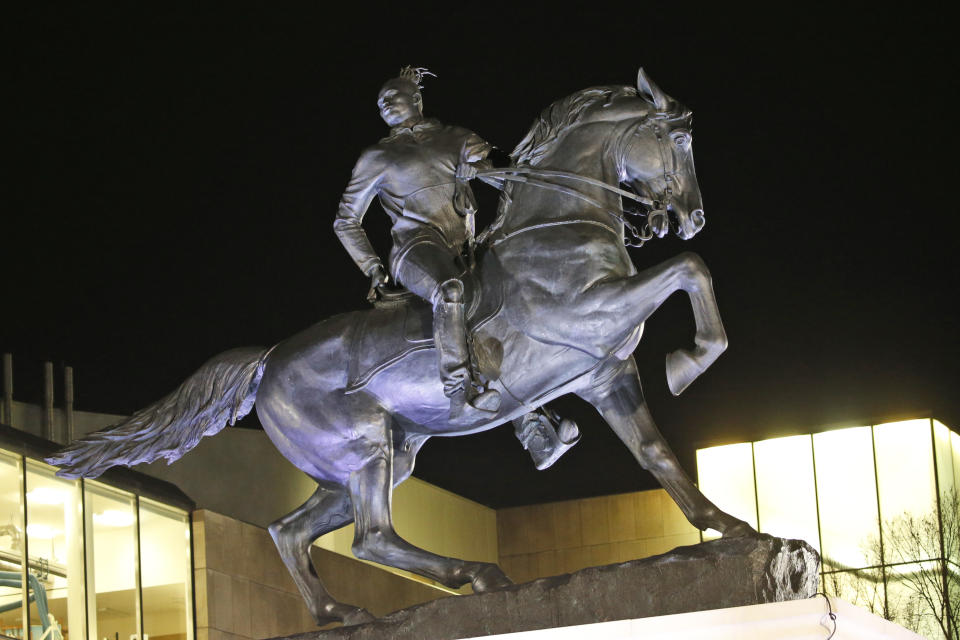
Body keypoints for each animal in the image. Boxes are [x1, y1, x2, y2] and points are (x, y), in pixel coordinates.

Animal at [48, 69, 756, 624]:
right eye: (678, 138)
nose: (691, 216)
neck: (557, 222)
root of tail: (267, 361)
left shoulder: (604, 372)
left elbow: (656, 454)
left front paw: (727, 526)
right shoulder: (591, 312)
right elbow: (690, 269)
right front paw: (689, 361)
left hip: (381, 458)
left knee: (291, 530)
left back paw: (339, 610)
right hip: (364, 450)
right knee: (371, 538)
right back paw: (476, 574)